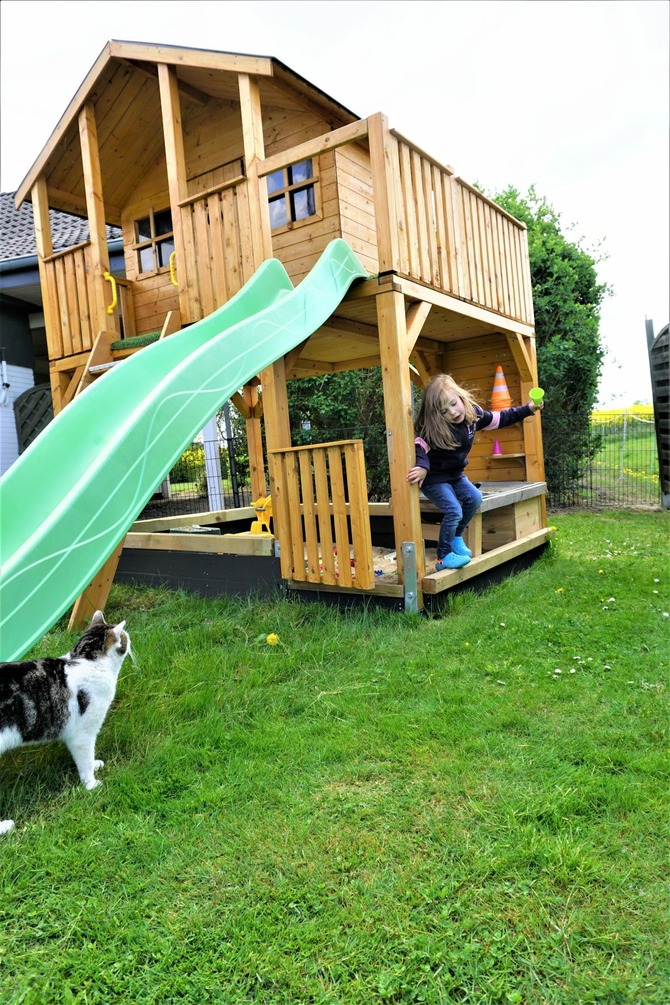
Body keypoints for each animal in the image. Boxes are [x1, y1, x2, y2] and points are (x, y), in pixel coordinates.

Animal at [0, 611, 130, 832]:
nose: (130, 640)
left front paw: (95, 764)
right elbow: (84, 761)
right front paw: (91, 784)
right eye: (125, 637)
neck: (87, 660)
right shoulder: (83, 735)